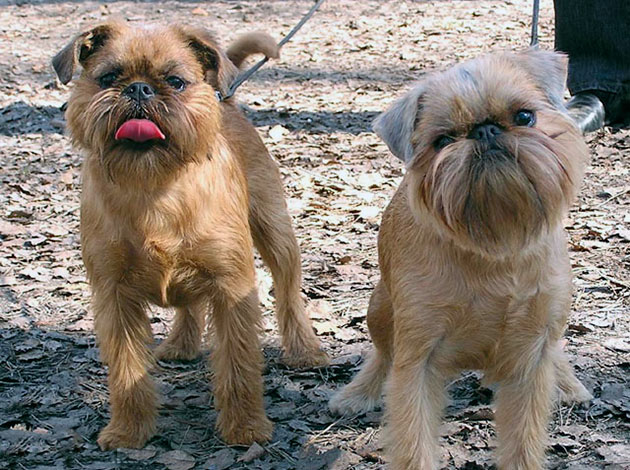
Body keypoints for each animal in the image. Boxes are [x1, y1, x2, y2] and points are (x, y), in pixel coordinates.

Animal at [53, 21, 328, 452]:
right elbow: (126, 370)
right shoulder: (113, 297)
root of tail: (225, 99)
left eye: (176, 82)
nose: (139, 89)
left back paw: (304, 351)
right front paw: (128, 429)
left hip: (276, 233)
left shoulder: (232, 288)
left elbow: (238, 364)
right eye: (109, 78)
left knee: (289, 294)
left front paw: (246, 427)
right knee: (188, 303)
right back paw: (181, 344)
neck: (155, 188)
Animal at [334, 49, 596, 468]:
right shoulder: (417, 360)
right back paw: (357, 393)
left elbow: (523, 438)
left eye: (525, 116)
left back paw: (568, 383)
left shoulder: (531, 355)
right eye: (442, 140)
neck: (495, 246)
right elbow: (413, 440)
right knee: (382, 352)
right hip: (379, 308)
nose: (485, 130)